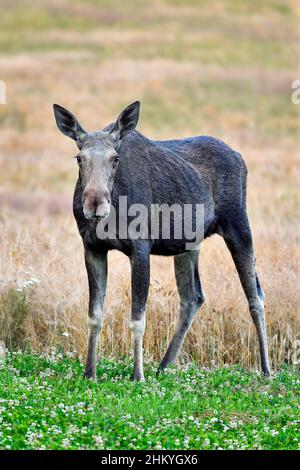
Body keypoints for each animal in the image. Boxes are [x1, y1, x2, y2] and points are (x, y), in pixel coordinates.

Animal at [52, 101, 270, 380]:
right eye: (80, 158)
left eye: (115, 158)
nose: (95, 203)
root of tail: (241, 158)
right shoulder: (92, 247)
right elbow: (95, 315)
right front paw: (89, 372)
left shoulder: (140, 247)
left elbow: (137, 318)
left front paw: (137, 375)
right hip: (188, 244)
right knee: (193, 296)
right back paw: (163, 366)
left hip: (238, 225)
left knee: (255, 296)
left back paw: (266, 368)